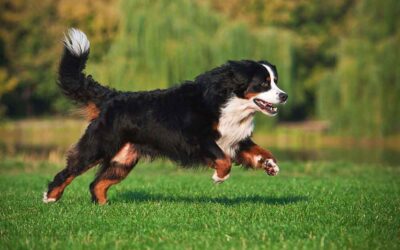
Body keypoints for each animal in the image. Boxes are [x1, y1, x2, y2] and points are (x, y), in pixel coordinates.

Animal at [43, 28, 288, 205]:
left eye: (275, 81)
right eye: (263, 83)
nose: (284, 96)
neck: (230, 104)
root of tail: (112, 97)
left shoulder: (236, 139)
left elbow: (261, 151)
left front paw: (270, 165)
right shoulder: (196, 139)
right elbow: (223, 160)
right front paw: (219, 177)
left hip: (123, 160)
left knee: (97, 185)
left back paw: (104, 208)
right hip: (98, 147)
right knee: (69, 172)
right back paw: (50, 198)